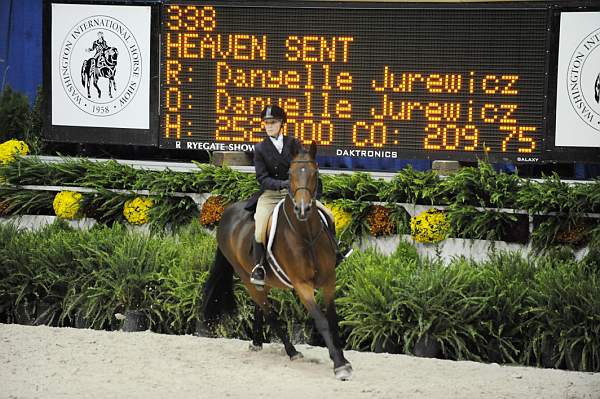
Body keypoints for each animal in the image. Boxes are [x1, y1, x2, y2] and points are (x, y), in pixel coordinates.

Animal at [202, 141, 352, 382]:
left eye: (315, 172)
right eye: (290, 174)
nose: (302, 209)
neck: (306, 234)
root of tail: (227, 213)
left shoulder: (329, 279)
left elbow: (332, 319)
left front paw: (342, 358)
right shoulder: (302, 285)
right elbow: (321, 321)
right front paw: (339, 366)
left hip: (262, 282)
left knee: (260, 307)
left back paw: (256, 342)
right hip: (246, 277)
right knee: (269, 312)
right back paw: (292, 351)